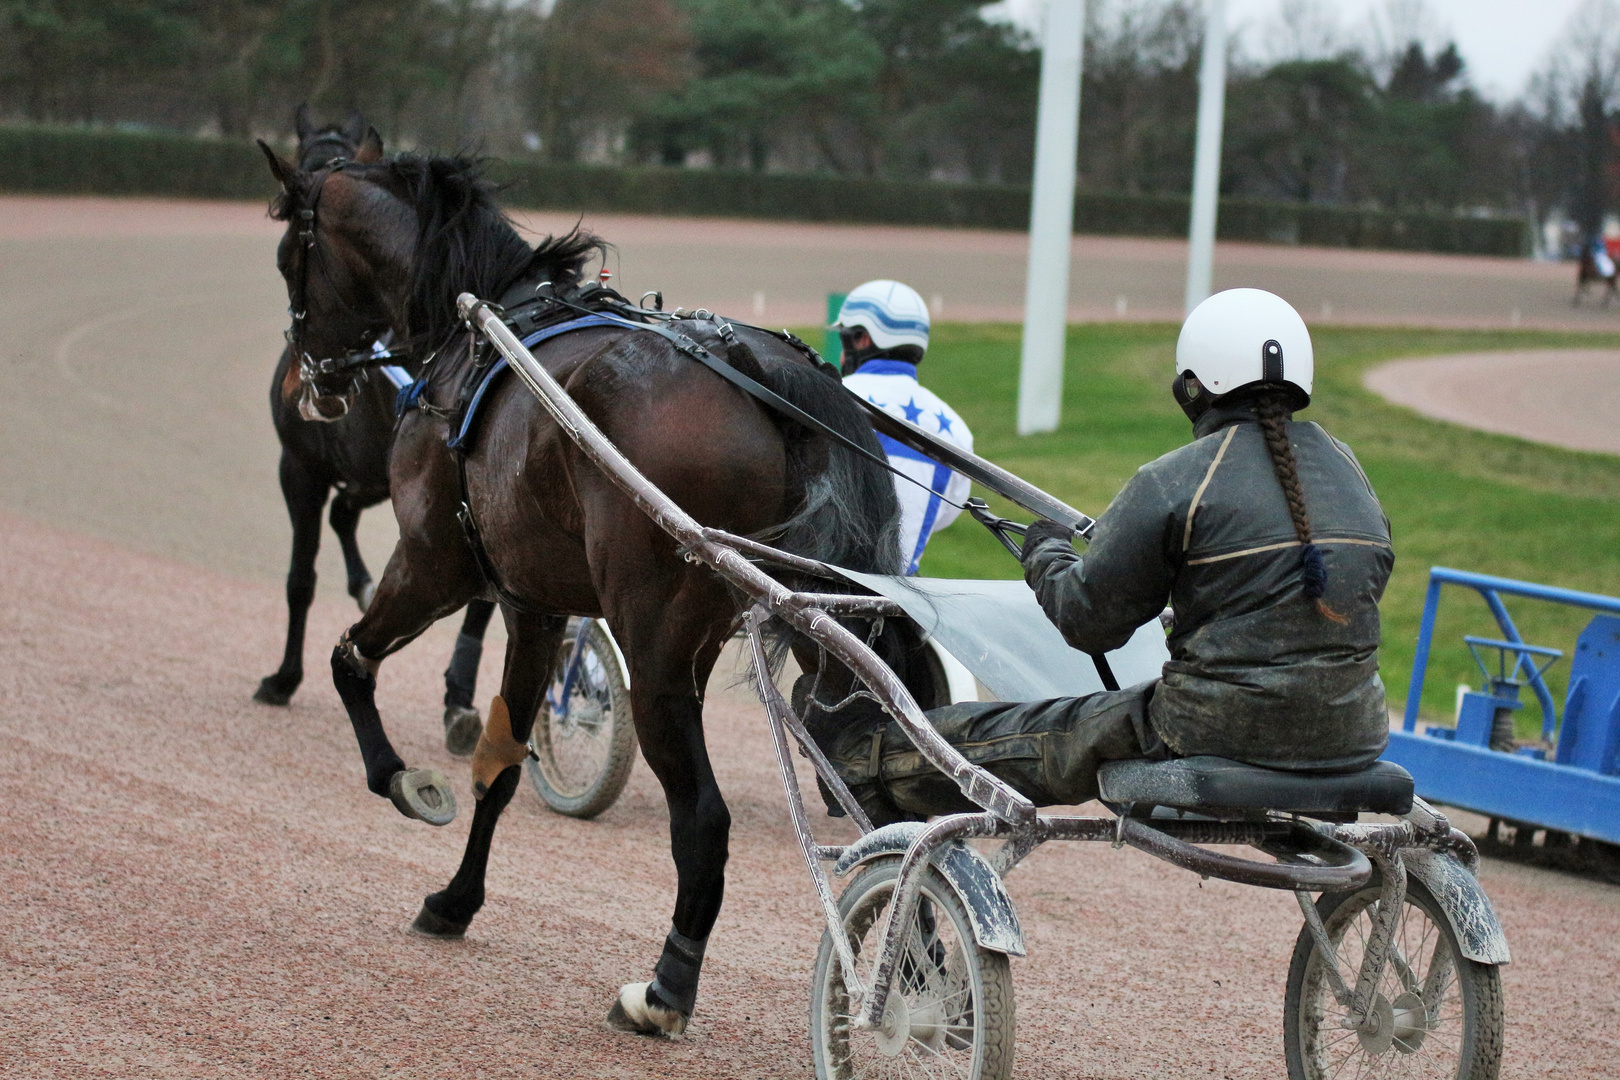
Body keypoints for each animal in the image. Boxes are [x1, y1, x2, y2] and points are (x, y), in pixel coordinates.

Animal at [251, 105, 492, 757]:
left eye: (284, 259)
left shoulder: (299, 467)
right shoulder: (364, 478)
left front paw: (284, 678)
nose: (304, 384)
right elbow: (338, 525)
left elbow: (300, 578)